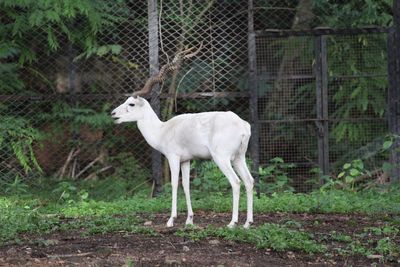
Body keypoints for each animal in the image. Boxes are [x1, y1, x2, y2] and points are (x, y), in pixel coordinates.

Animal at [110, 45, 253, 228]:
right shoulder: (186, 160)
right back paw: (247, 223)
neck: (162, 130)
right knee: (249, 181)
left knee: (235, 182)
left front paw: (171, 220)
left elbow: (173, 184)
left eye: (131, 103)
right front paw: (189, 220)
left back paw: (232, 223)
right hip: (239, 157)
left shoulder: (173, 157)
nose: (113, 114)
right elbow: (186, 185)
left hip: (222, 158)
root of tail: (242, 125)